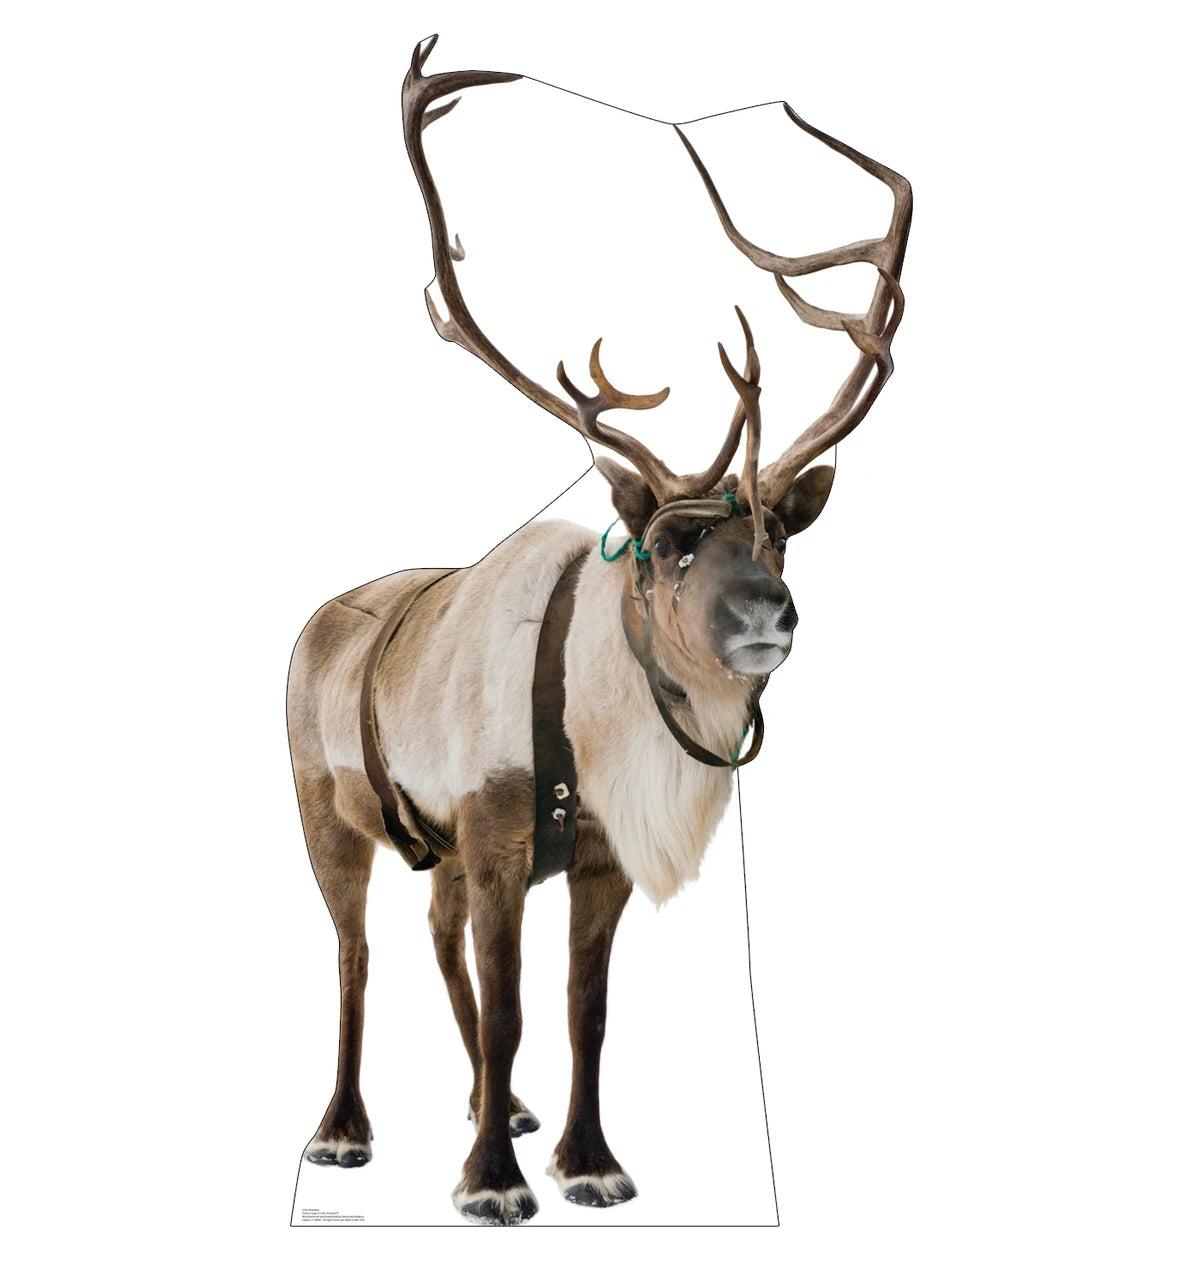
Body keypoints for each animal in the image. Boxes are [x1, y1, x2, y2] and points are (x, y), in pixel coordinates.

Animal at [289, 36, 911, 1225]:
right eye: (667, 546)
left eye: (778, 536)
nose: (770, 614)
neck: (595, 709)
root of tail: (320, 617)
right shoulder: (494, 841)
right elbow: (513, 1004)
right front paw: (490, 1184)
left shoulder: (596, 859)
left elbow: (585, 1011)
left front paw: (584, 1160)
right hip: (325, 814)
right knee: (352, 953)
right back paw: (345, 1131)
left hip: (436, 848)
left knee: (433, 942)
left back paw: (501, 1106)